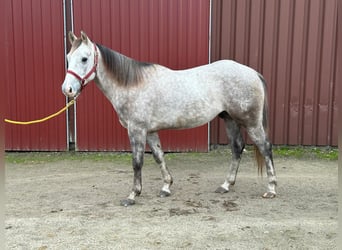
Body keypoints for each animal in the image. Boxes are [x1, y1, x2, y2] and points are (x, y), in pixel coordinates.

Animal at [60, 31, 276, 206]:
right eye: (69, 57)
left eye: (85, 59)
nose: (67, 90)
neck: (132, 84)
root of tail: (253, 73)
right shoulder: (150, 131)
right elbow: (158, 156)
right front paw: (166, 187)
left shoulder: (136, 130)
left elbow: (137, 162)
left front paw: (132, 195)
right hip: (229, 119)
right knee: (237, 147)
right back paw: (225, 185)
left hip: (251, 122)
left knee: (265, 147)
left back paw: (271, 189)